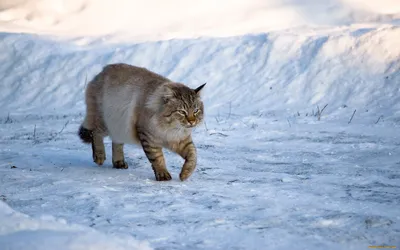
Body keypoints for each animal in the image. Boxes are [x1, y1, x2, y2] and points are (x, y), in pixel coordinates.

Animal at [77, 63, 206, 181]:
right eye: (182, 112)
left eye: (196, 111)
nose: (192, 122)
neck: (170, 129)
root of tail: (101, 72)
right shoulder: (149, 138)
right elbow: (157, 158)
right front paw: (163, 174)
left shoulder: (182, 140)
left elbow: (193, 156)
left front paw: (185, 174)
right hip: (104, 122)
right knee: (95, 133)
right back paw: (99, 156)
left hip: (119, 126)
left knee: (116, 143)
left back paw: (119, 162)